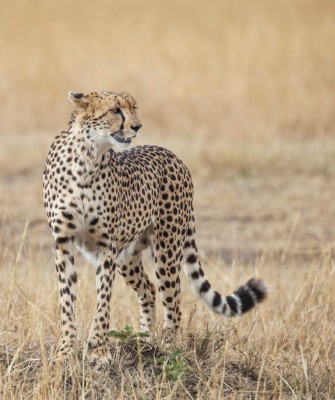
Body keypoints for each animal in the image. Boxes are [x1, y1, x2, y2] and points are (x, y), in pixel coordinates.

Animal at [43, 90, 268, 360]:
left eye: (133, 108)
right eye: (115, 110)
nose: (137, 126)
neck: (87, 157)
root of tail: (172, 155)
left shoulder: (107, 247)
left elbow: (103, 300)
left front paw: (98, 350)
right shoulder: (63, 243)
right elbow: (67, 300)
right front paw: (66, 350)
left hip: (166, 249)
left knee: (173, 300)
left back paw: (168, 348)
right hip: (127, 257)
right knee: (149, 290)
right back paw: (144, 341)